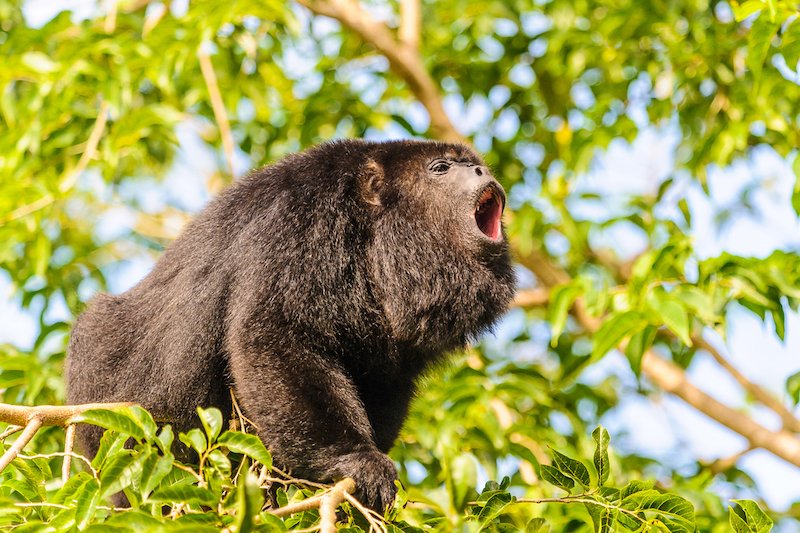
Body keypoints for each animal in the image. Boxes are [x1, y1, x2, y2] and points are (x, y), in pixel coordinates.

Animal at [69, 138, 520, 512]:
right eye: (441, 168)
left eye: (474, 165)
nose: (481, 172)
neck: (376, 233)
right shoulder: (300, 223)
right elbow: (274, 337)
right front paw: (355, 460)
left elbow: (383, 378)